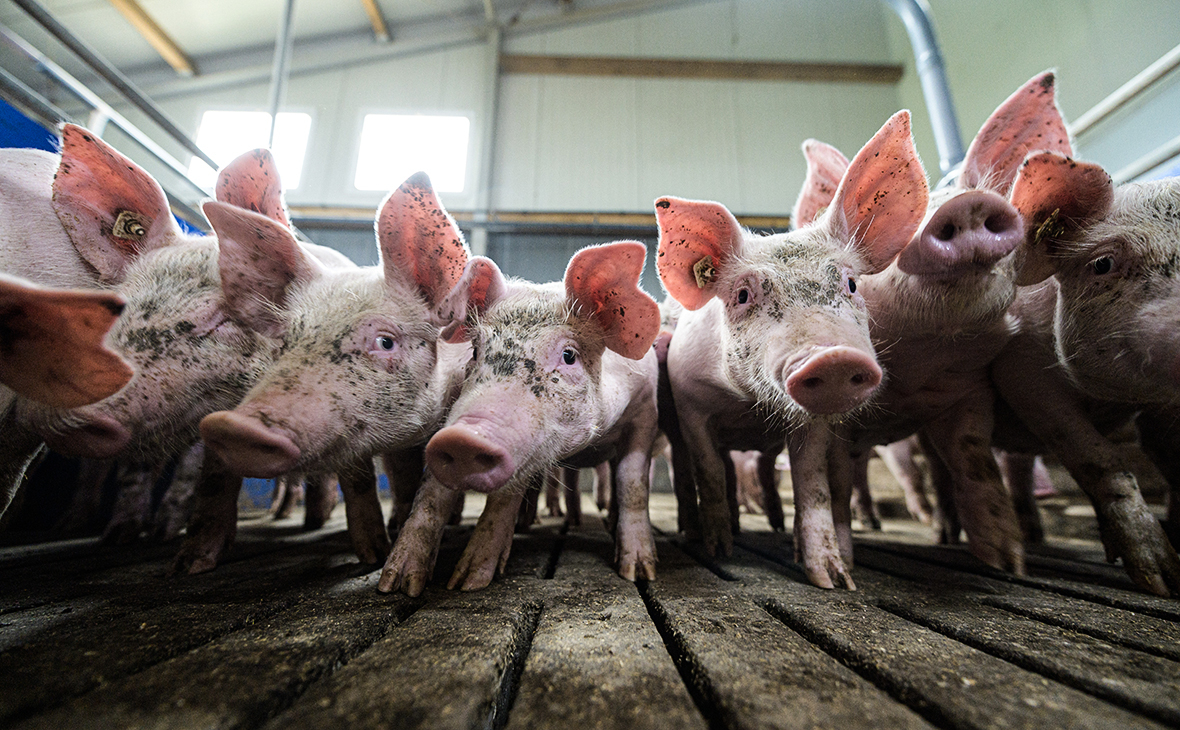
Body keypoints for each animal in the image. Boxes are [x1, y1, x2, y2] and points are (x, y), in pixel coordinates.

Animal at [379, 242, 665, 596]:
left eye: (569, 356)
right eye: (476, 351)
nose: (462, 439)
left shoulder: (645, 413)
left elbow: (632, 484)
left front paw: (639, 573)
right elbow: (433, 496)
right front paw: (411, 585)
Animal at [660, 109, 925, 587]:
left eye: (851, 283)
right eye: (742, 295)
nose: (832, 357)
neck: (747, 406)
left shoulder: (813, 421)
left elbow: (812, 482)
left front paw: (835, 580)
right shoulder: (690, 402)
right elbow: (709, 472)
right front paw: (719, 550)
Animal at [792, 72, 1071, 577]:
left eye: (975, 190)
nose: (967, 203)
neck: (916, 364)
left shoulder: (970, 392)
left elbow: (973, 464)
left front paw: (1008, 565)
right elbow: (838, 478)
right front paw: (843, 562)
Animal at [991, 150, 1180, 596]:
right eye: (1102, 263)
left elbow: (1171, 453)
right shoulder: (1019, 368)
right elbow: (1099, 458)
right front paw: (1160, 580)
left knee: (1018, 467)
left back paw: (1035, 537)